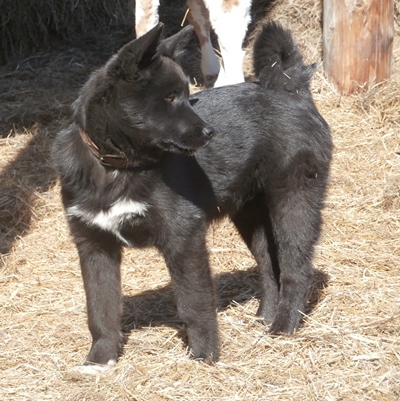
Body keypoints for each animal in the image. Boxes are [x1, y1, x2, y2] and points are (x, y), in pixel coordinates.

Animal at [54, 21, 334, 372]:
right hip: (250, 215)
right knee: (270, 267)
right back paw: (265, 317)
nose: (210, 132)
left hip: (294, 203)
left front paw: (204, 356)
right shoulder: (94, 245)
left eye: (189, 97)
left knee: (296, 269)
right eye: (170, 98)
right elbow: (100, 308)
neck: (119, 167)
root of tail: (292, 91)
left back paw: (283, 329)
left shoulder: (184, 238)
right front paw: (99, 361)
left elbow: (194, 303)